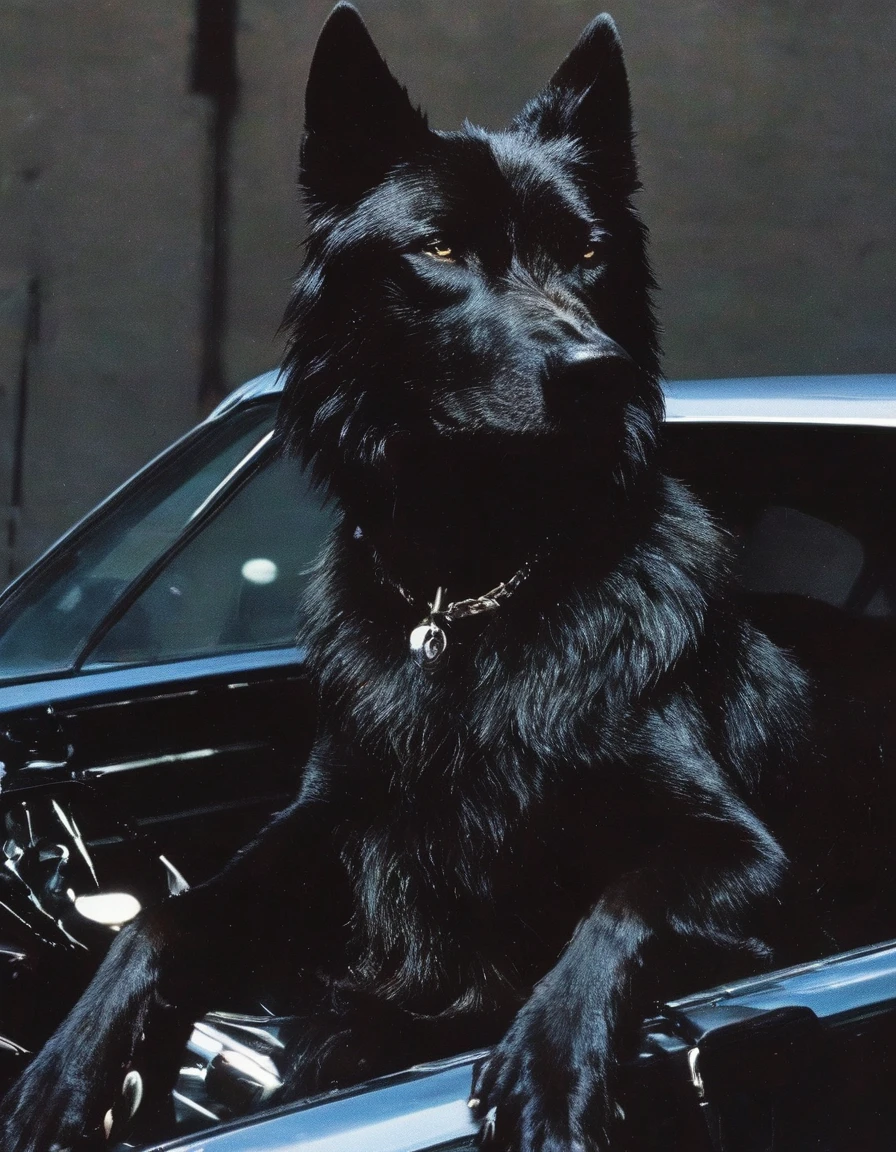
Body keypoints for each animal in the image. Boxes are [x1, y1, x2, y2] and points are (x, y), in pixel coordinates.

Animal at [1, 9, 893, 1152]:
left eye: (589, 254)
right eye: (437, 250)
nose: (599, 372)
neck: (468, 591)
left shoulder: (754, 861)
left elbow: (624, 900)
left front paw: (548, 1065)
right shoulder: (325, 829)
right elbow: (163, 917)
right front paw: (66, 1070)